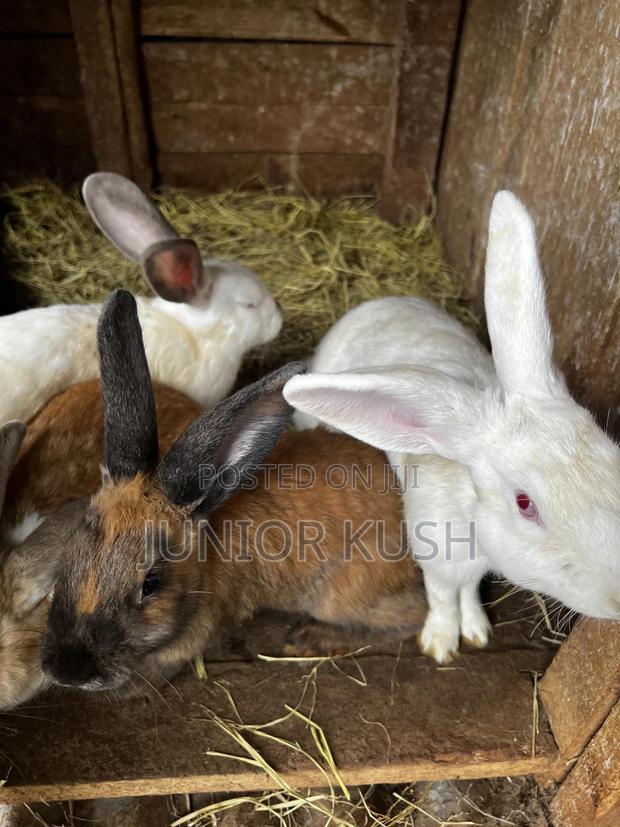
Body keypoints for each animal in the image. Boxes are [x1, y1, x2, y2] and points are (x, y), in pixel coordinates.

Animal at [40, 290, 426, 694]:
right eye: (70, 552)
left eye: (151, 584)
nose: (67, 670)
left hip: (338, 596)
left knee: (415, 618)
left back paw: (311, 638)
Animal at [283, 190, 620, 664]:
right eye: (525, 504)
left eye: (615, 458)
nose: (617, 596)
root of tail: (382, 301)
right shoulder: (437, 558)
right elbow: (443, 595)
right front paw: (441, 644)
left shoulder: (476, 569)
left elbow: (470, 593)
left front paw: (476, 631)